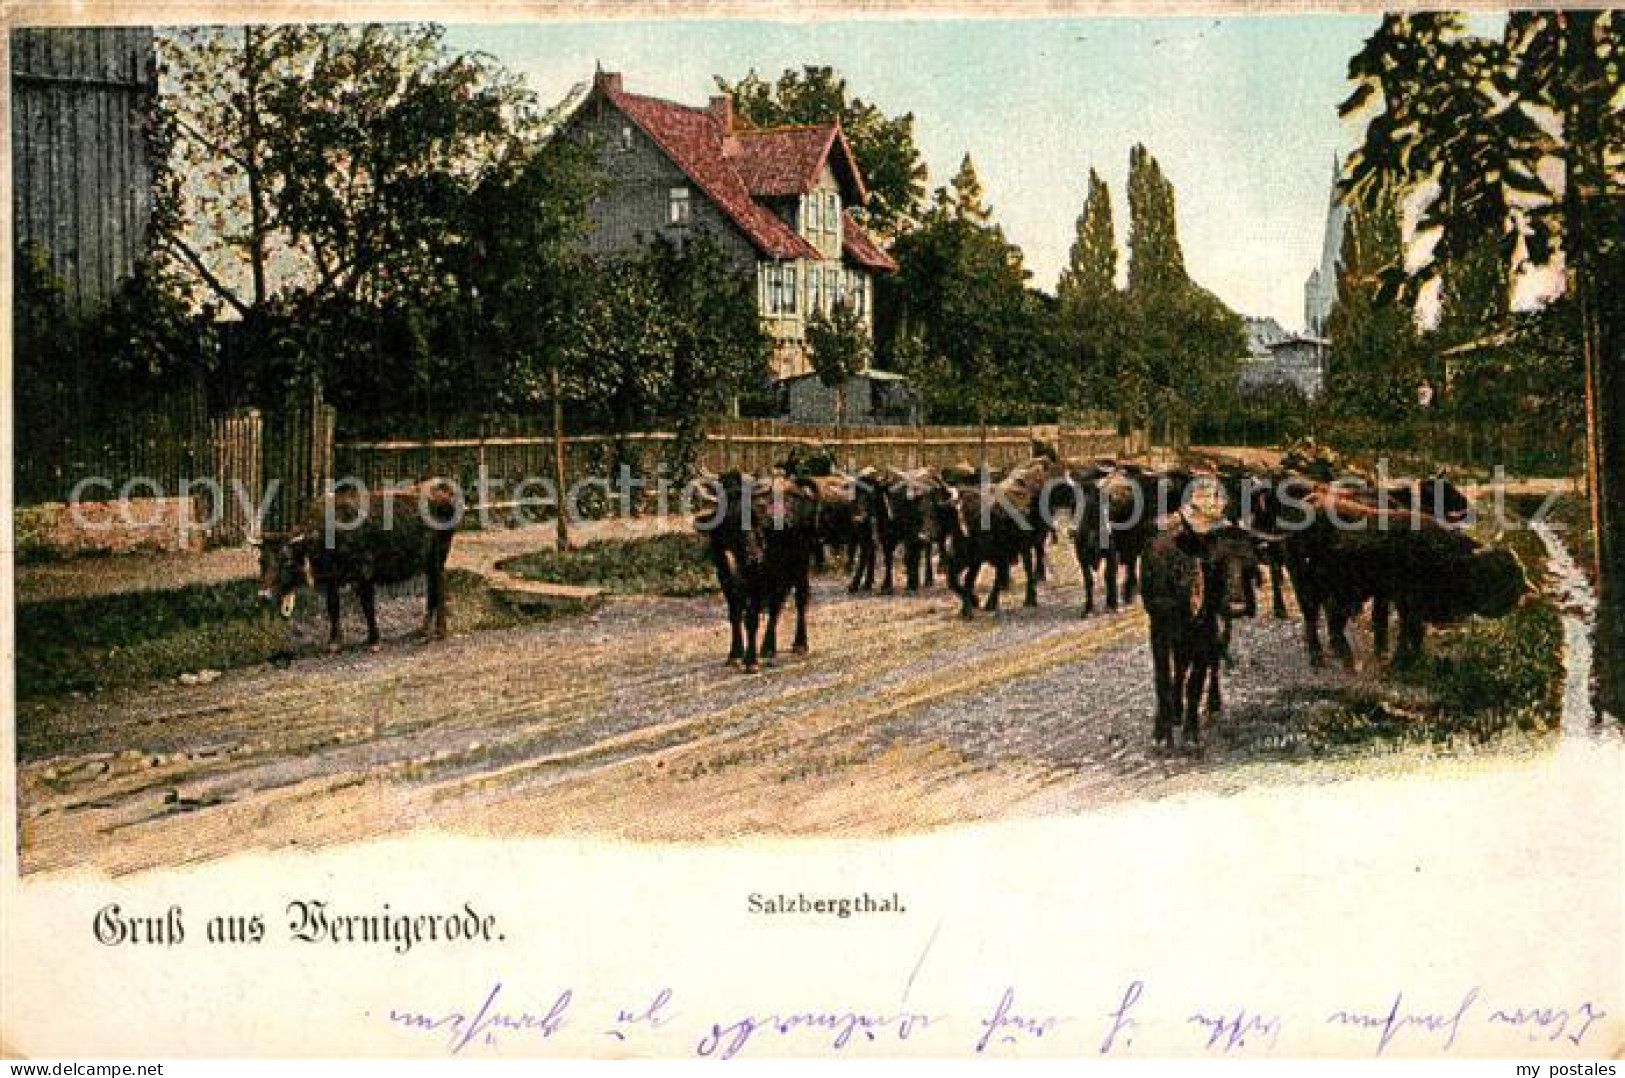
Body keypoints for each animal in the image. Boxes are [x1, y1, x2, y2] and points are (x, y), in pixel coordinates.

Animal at [253, 481, 461, 650]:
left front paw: (374, 640)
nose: (263, 595)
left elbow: (367, 605)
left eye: (286, 560)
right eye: (261, 561)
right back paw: (423, 630)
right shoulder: (332, 580)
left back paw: (440, 632)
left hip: (438, 558)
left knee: (440, 589)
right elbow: (333, 607)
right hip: (428, 564)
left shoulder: (364, 574)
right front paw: (334, 642)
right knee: (432, 591)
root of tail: (443, 493)